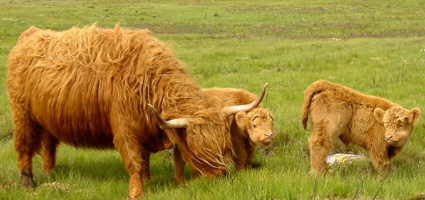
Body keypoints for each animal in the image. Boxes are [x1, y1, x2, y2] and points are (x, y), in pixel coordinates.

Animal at [6, 23, 262, 198]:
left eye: (226, 146)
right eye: (198, 150)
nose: (220, 178)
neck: (146, 81)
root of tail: (31, 34)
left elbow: (168, 158)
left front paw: (170, 182)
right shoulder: (125, 130)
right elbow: (135, 161)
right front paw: (137, 192)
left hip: (48, 118)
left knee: (49, 145)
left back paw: (51, 174)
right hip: (22, 114)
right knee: (24, 146)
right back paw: (28, 182)